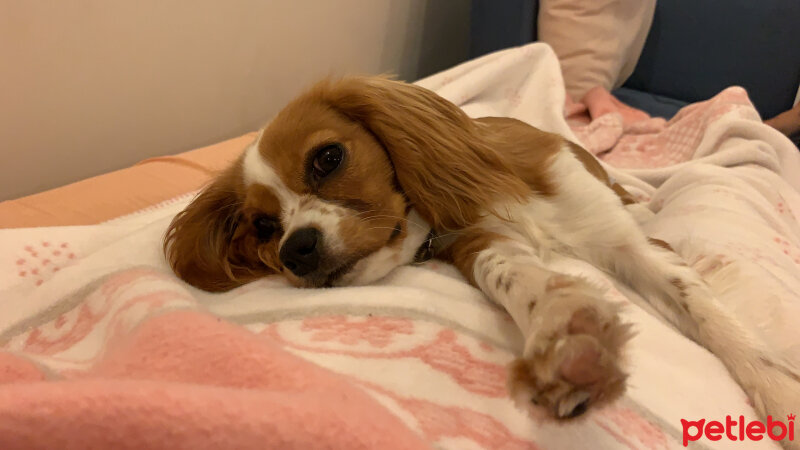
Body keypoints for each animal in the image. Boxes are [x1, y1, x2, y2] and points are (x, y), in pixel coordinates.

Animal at [164, 75, 800, 428]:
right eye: (264, 225)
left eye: (327, 158)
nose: (297, 249)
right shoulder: (478, 243)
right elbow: (513, 276)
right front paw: (565, 330)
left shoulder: (623, 241)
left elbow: (707, 312)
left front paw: (778, 393)